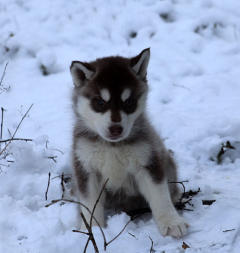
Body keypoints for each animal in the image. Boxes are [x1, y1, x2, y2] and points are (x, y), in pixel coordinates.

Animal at [70, 49, 188, 237]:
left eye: (129, 102)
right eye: (100, 102)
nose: (116, 129)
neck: (112, 145)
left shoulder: (148, 162)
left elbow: (160, 195)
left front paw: (171, 222)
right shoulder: (85, 167)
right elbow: (89, 204)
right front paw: (92, 229)